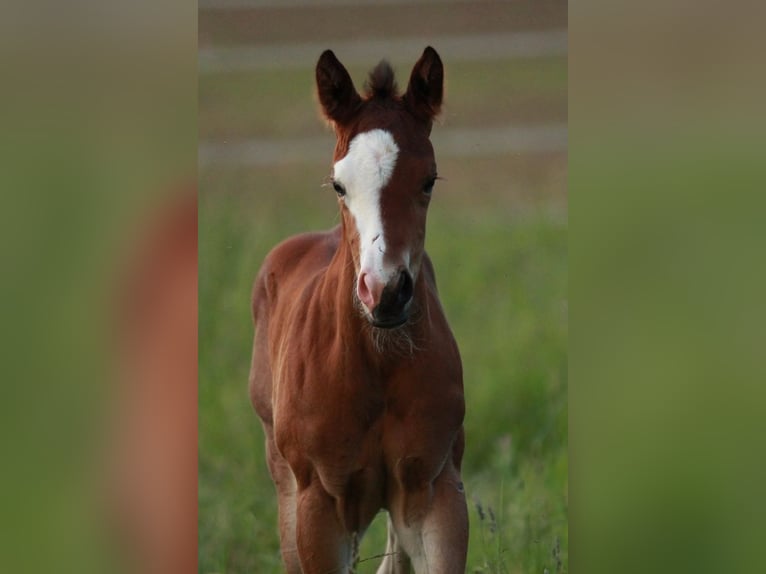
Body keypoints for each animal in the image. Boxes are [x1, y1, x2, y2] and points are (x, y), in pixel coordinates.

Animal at [250, 47, 468, 572]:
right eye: (338, 185)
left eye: (428, 180)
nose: (384, 291)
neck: (376, 363)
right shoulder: (319, 506)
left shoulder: (435, 489)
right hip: (286, 485)